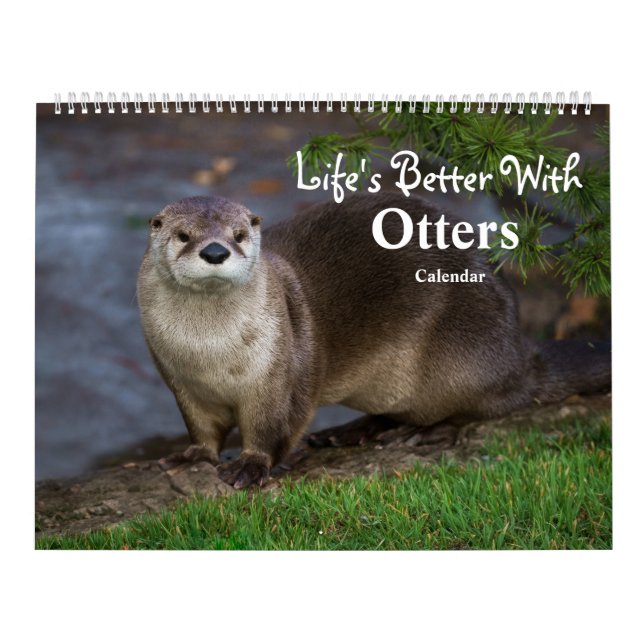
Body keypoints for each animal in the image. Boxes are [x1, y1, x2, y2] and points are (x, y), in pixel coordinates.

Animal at [137, 193, 610, 488]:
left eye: (238, 235)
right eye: (183, 235)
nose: (215, 251)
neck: (210, 355)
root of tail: (519, 352)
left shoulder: (278, 380)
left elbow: (275, 428)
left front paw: (251, 466)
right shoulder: (180, 382)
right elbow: (202, 429)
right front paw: (191, 456)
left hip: (462, 358)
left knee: (480, 410)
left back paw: (421, 433)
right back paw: (355, 431)